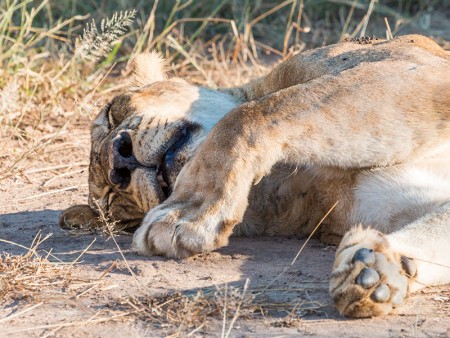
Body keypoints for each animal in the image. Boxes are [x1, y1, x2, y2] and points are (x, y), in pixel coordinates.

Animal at [60, 35, 450, 318]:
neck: (282, 174)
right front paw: (377, 271)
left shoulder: (417, 69)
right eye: (115, 204)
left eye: (114, 112)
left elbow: (255, 113)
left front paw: (189, 214)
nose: (118, 162)